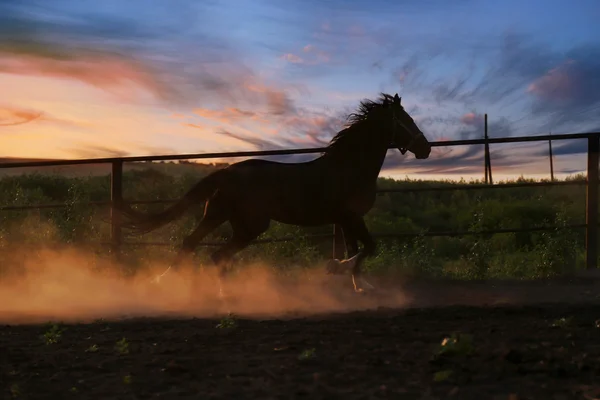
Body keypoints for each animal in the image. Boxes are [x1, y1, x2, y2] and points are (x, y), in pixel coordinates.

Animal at [115, 94, 428, 294]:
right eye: (406, 120)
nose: (425, 148)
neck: (349, 167)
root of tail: (227, 172)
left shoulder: (346, 220)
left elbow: (357, 250)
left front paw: (358, 283)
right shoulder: (351, 217)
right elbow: (368, 248)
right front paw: (338, 268)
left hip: (226, 218)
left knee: (200, 248)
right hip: (247, 224)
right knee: (210, 252)